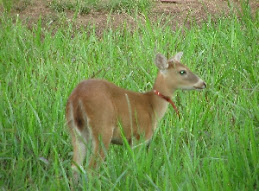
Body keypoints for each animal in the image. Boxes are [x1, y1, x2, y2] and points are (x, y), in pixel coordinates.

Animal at [66, 51, 207, 179]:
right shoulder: (140, 136)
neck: (152, 106)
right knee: (91, 169)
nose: (203, 83)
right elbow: (134, 164)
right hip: (102, 128)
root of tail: (77, 97)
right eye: (182, 71)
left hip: (75, 130)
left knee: (75, 167)